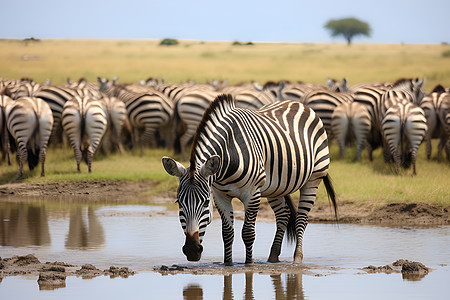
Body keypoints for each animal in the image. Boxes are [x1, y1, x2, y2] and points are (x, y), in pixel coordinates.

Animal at [161, 94, 334, 264]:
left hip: (313, 178)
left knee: (302, 218)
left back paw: (297, 259)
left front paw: (249, 264)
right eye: (179, 203)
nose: (191, 251)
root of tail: (299, 103)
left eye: (205, 202)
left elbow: (248, 233)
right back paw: (273, 257)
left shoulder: (252, 194)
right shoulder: (220, 195)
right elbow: (227, 233)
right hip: (276, 186)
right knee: (283, 215)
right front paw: (228, 264)